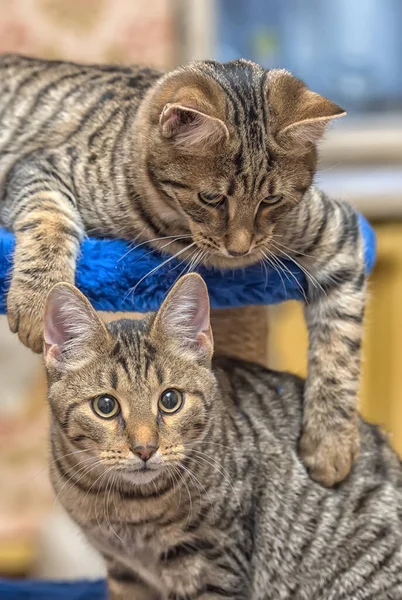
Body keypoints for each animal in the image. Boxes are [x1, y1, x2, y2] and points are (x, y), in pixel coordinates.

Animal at [0, 55, 364, 488]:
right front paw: (37, 299)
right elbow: (47, 220)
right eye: (211, 198)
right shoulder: (42, 168)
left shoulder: (341, 238)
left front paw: (330, 442)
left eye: (272, 200)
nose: (239, 249)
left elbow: (341, 351)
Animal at [44, 276, 402, 600]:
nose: (145, 449)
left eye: (170, 400)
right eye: (105, 406)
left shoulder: (215, 562)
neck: (128, 507)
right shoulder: (124, 571)